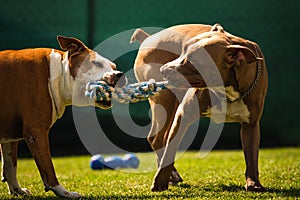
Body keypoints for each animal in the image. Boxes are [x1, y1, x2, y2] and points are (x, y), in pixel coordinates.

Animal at [0, 35, 124, 197]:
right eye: (96, 63)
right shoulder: (36, 132)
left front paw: (17, 190)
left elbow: (10, 165)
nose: (120, 75)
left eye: (114, 67)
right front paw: (63, 192)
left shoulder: (10, 135)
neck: (57, 74)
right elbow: (48, 169)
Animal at [132, 23, 268, 192]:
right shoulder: (182, 114)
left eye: (193, 60)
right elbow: (170, 149)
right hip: (165, 101)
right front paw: (160, 181)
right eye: (182, 50)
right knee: (156, 138)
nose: (163, 69)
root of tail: (148, 37)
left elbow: (251, 155)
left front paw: (254, 183)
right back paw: (171, 175)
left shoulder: (251, 125)